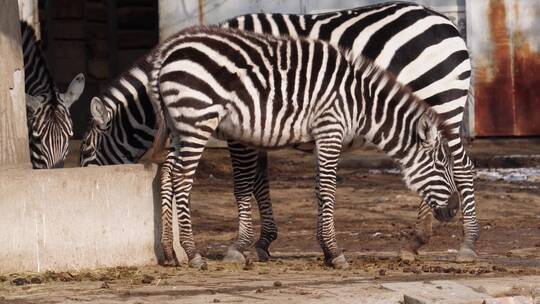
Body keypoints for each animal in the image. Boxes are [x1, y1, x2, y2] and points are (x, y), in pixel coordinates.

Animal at [80, 1, 476, 264]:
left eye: (86, 153)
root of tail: (447, 22)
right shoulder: (260, 124)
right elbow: (259, 182)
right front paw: (261, 242)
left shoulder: (246, 128)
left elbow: (247, 182)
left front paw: (245, 244)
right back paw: (417, 241)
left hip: (442, 101)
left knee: (465, 168)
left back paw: (465, 244)